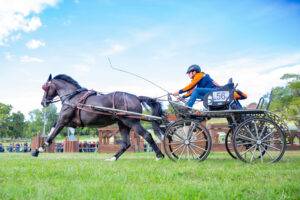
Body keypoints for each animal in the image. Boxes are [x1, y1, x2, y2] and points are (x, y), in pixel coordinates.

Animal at [31, 74, 165, 161]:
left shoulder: (63, 121)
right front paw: (38, 149)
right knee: (126, 143)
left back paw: (160, 156)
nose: (43, 102)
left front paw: (38, 150)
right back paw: (113, 158)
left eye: (45, 87)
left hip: (132, 122)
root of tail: (136, 97)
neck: (72, 97)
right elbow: (52, 129)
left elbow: (52, 135)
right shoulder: (70, 123)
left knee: (147, 135)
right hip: (123, 124)